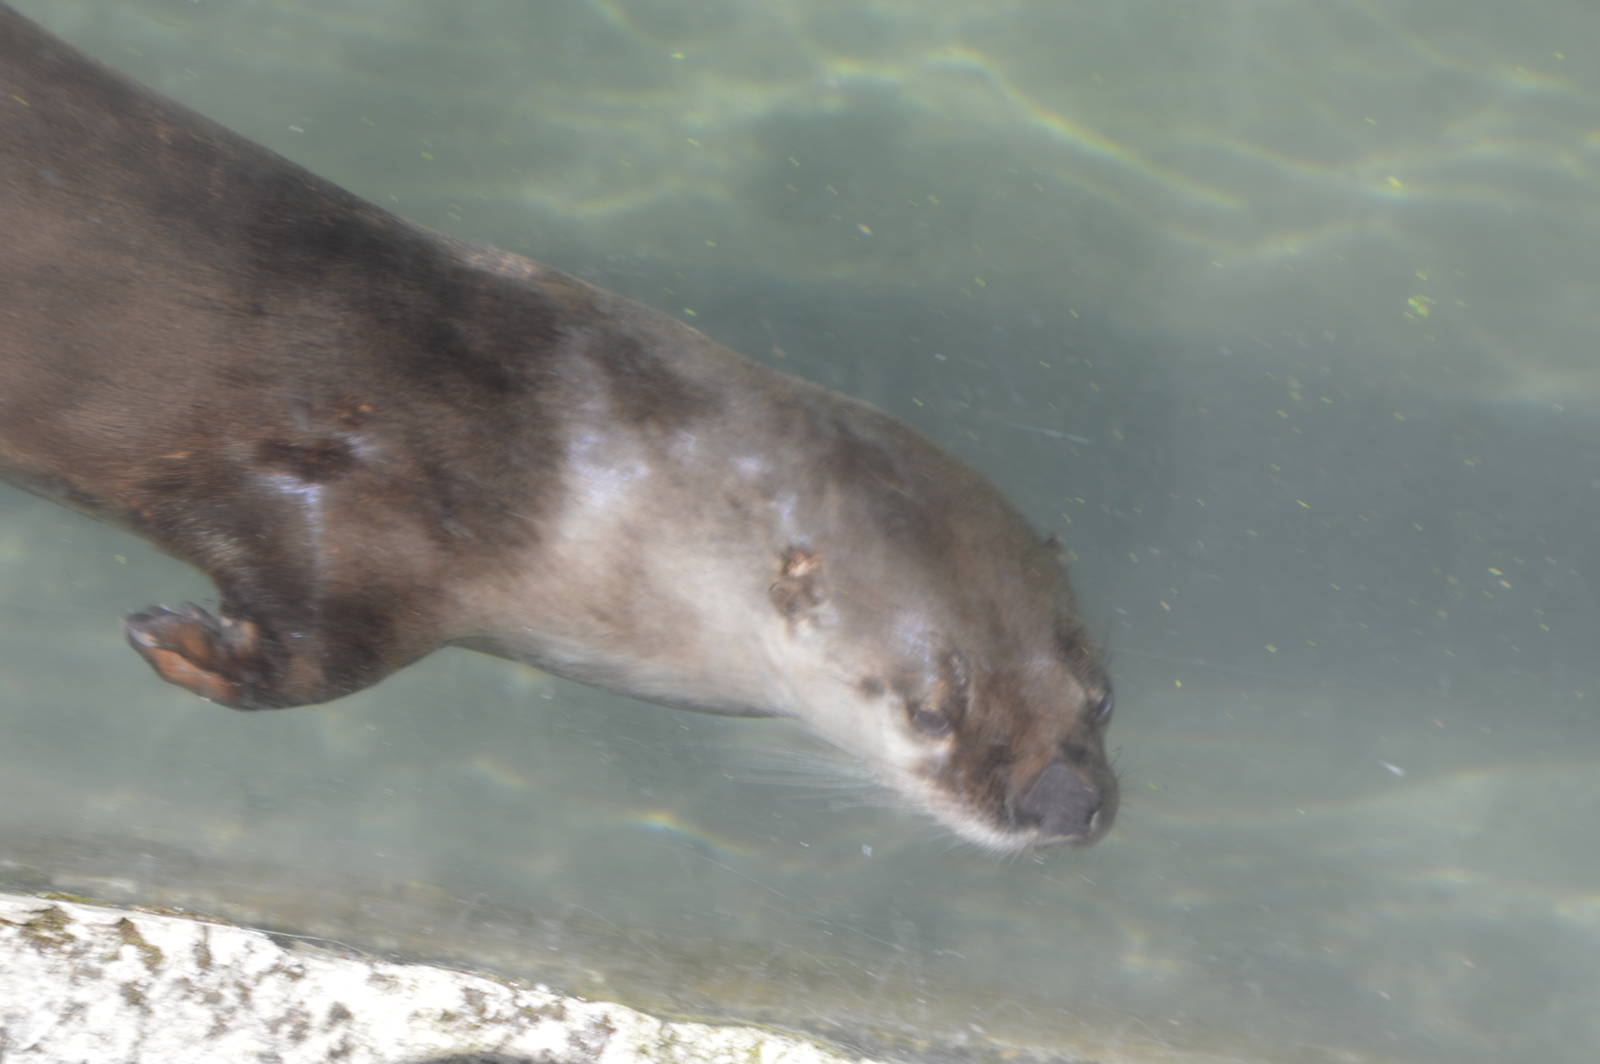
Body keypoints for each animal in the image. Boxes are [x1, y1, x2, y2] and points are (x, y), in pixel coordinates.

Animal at [0, 5, 1115, 851]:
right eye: (927, 712)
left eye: (1100, 692)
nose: (1065, 804)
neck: (573, 458)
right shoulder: (370, 505)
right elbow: (319, 627)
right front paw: (188, 645)